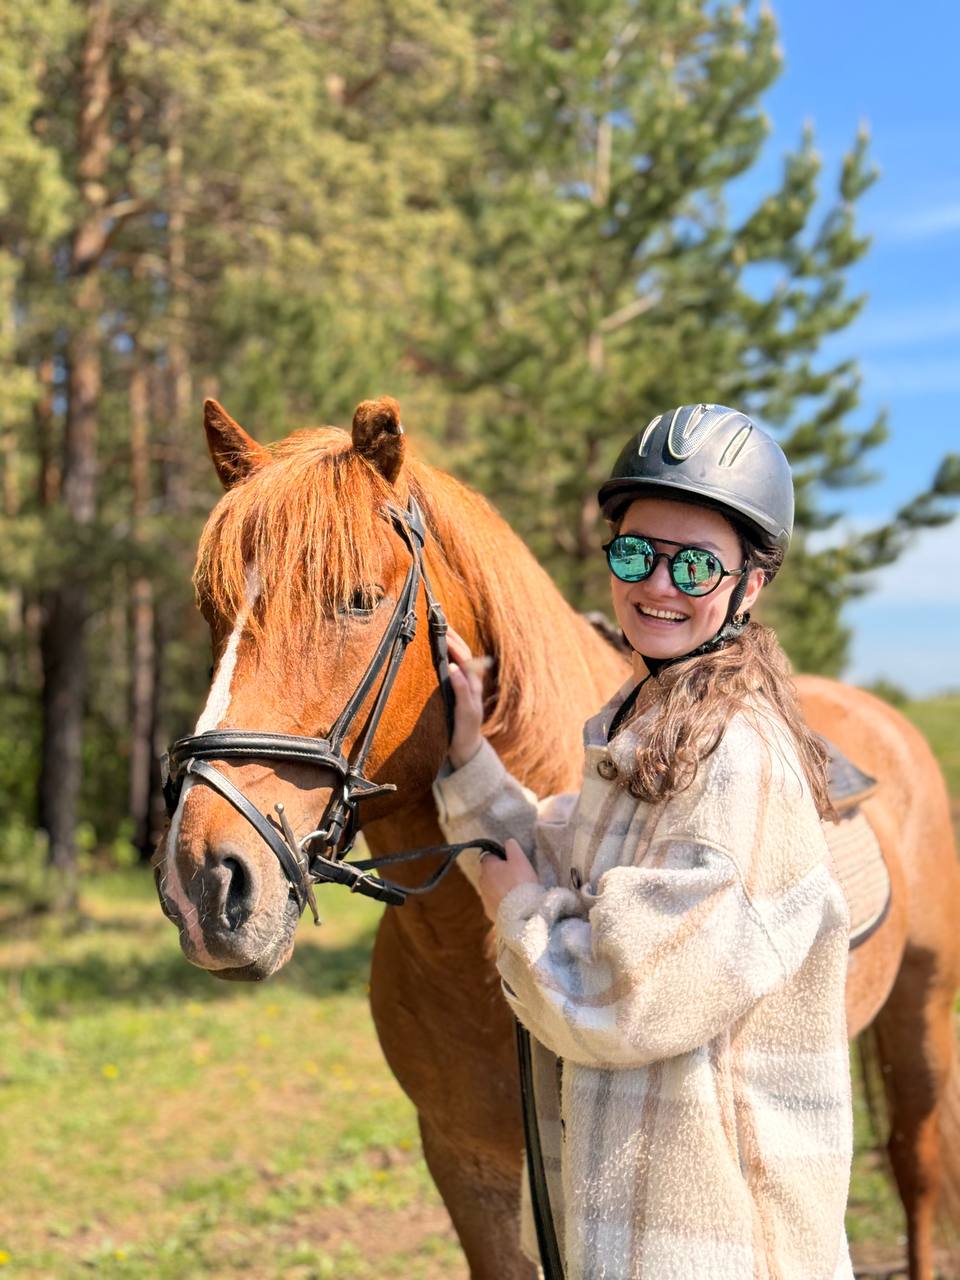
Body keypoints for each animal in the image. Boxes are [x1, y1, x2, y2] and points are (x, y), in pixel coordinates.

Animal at [156, 394, 960, 1274]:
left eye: (359, 599)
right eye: (213, 612)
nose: (204, 883)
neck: (470, 950)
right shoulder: (466, 1159)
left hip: (923, 1012)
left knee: (918, 1166)